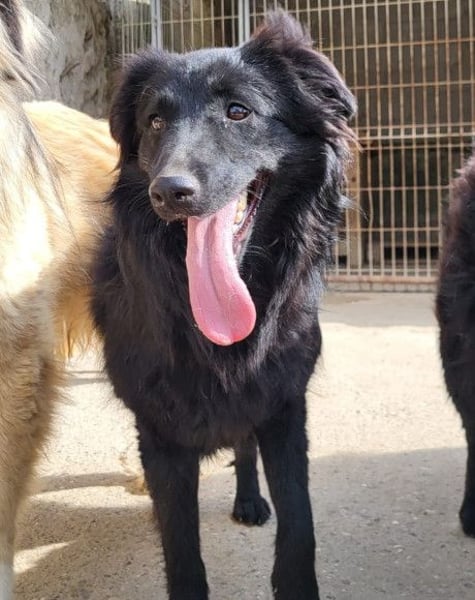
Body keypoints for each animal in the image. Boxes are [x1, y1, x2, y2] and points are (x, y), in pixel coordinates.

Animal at [93, 11, 356, 600]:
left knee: (244, 448)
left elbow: (299, 519)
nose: (170, 191)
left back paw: (249, 499)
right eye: (154, 122)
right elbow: (180, 544)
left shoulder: (283, 403)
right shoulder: (159, 432)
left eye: (239, 111)